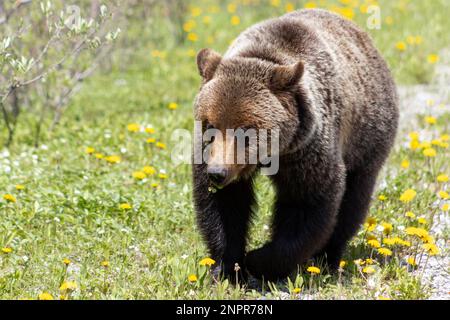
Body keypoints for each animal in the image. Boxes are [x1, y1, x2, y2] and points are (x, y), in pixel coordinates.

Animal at [192, 8, 400, 282]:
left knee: (353, 200)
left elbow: (307, 203)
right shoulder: (212, 156)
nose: (217, 173)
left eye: (246, 130)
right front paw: (227, 267)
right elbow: (225, 207)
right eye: (210, 125)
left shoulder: (307, 150)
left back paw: (328, 259)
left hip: (367, 138)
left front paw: (258, 260)